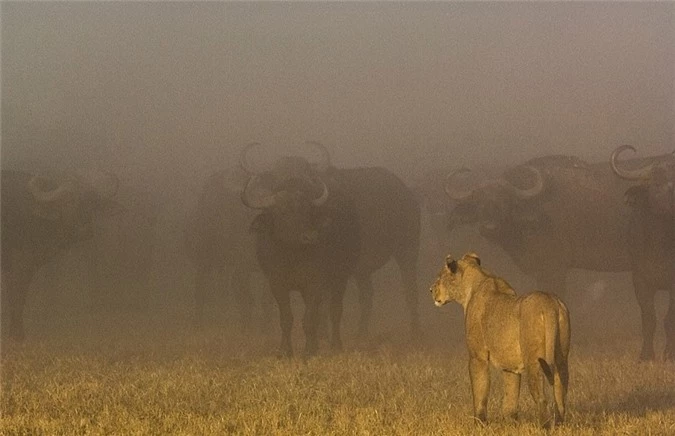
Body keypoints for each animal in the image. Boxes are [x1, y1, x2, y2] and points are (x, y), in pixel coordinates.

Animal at [243, 141, 420, 356]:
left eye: (307, 209)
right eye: (282, 211)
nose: (310, 236)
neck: (292, 254)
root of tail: (408, 194)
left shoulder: (317, 280)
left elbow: (314, 314)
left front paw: (312, 348)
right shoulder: (276, 282)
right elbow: (287, 318)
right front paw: (286, 351)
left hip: (406, 250)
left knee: (409, 292)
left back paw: (413, 335)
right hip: (362, 271)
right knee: (366, 297)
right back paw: (360, 335)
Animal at [608, 145, 672, 360]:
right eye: (655, 181)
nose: (665, 199)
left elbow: (669, 318)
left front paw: (669, 354)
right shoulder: (640, 280)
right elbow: (648, 318)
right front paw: (646, 355)